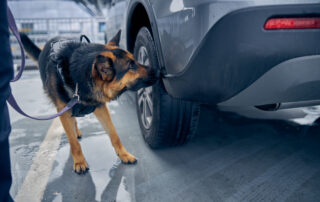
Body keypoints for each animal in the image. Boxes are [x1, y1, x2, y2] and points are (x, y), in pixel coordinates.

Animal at [20, 31, 159, 174]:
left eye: (135, 61)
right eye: (131, 66)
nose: (158, 71)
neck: (78, 77)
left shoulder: (100, 108)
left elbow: (114, 134)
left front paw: (124, 155)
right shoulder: (63, 110)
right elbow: (73, 143)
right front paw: (79, 161)